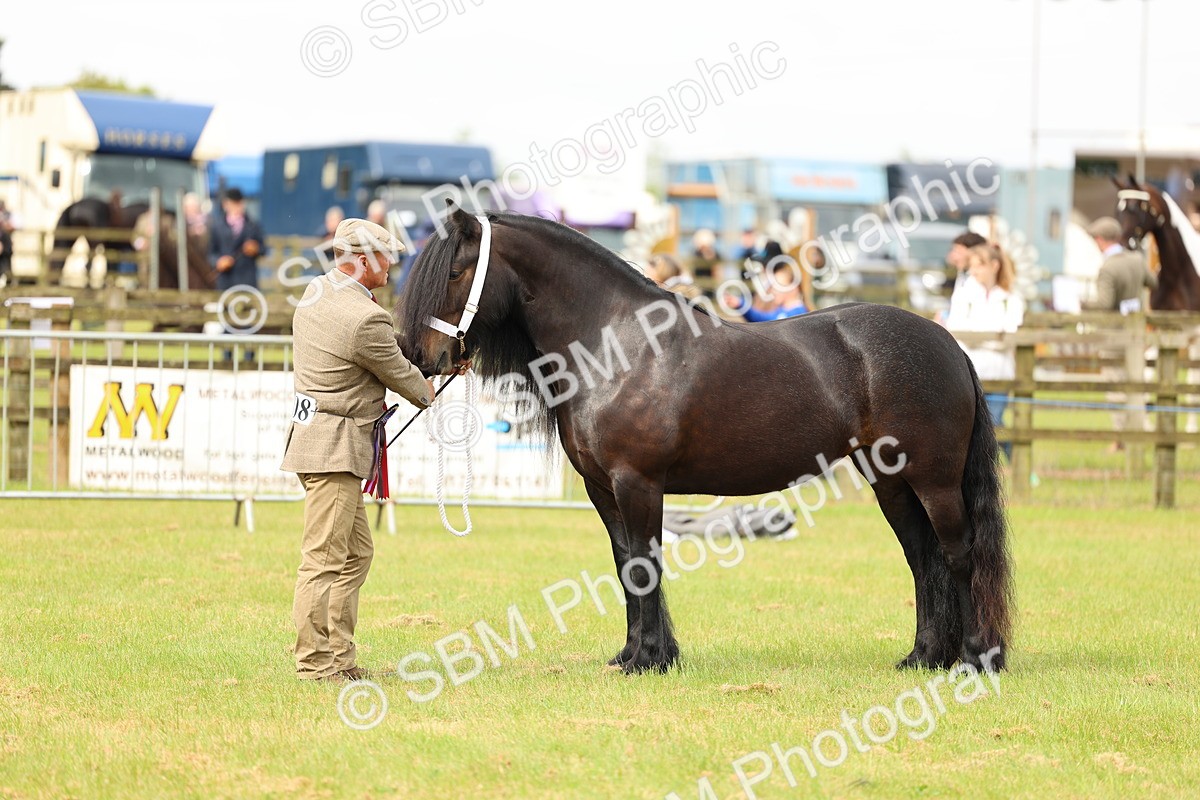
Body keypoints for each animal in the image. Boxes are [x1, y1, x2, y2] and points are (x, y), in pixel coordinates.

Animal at [397, 205, 1013, 675]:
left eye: (455, 271)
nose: (418, 355)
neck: (617, 344)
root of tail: (947, 343)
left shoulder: (638, 483)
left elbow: (644, 565)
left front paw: (649, 660)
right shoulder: (603, 489)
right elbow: (625, 564)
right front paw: (634, 655)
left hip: (933, 480)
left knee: (959, 555)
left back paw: (975, 660)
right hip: (892, 484)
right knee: (922, 558)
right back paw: (924, 657)